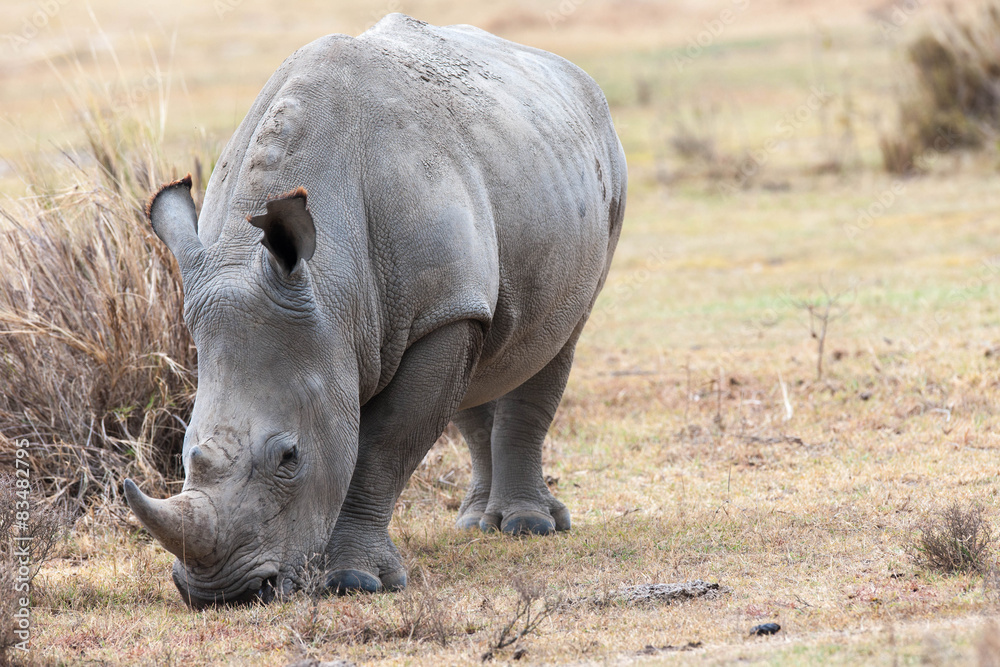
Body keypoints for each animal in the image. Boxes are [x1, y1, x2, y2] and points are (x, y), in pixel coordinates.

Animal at [124, 13, 626, 607]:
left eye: (290, 457)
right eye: (184, 452)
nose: (221, 594)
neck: (331, 289)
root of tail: (574, 76)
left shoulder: (439, 312)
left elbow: (383, 446)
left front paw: (352, 580)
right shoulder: (434, 305)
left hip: (597, 181)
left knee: (557, 342)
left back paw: (530, 527)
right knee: (483, 362)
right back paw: (474, 524)